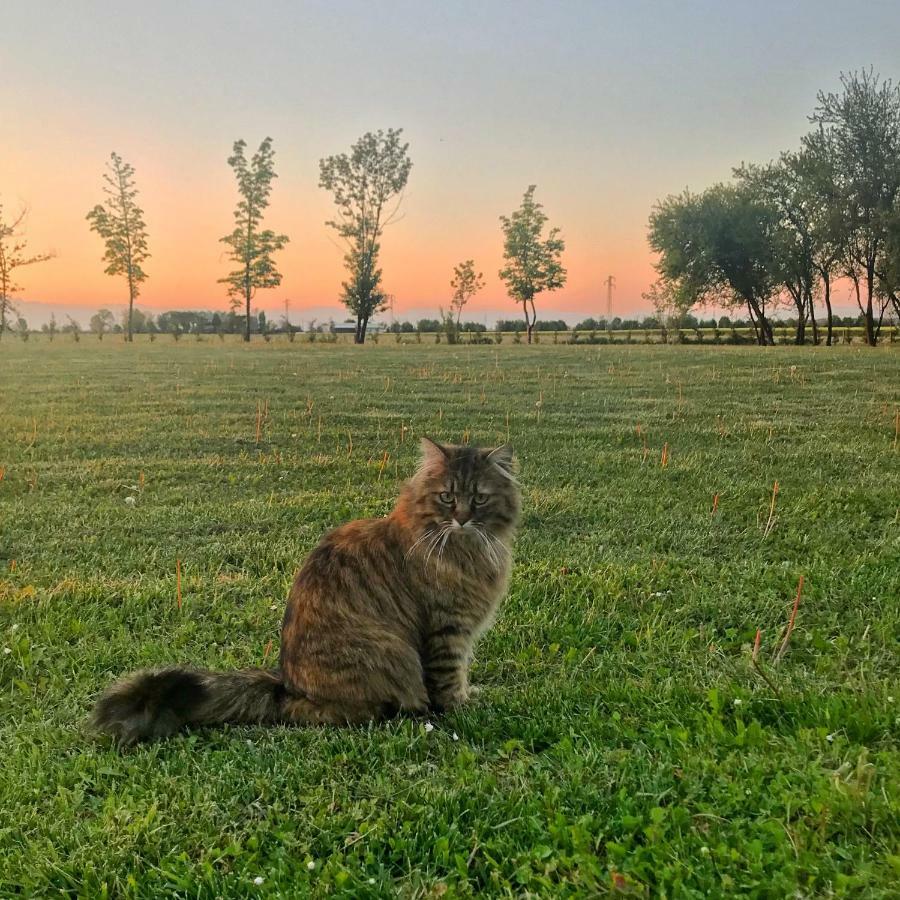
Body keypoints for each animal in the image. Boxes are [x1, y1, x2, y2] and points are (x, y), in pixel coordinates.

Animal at [91, 438, 520, 744]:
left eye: (478, 498)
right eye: (447, 497)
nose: (462, 518)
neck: (466, 548)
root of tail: (286, 685)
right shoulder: (447, 630)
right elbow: (448, 679)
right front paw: (461, 707)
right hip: (389, 652)